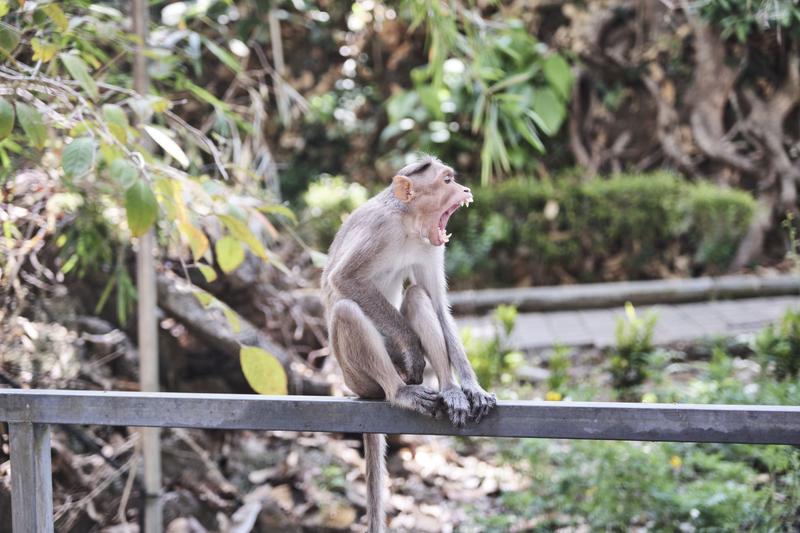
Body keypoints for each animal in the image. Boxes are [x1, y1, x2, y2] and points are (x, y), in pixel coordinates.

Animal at [318, 156, 494, 528]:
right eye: (446, 181)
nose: (466, 189)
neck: (408, 225)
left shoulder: (429, 247)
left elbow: (438, 306)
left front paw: (472, 386)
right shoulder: (378, 230)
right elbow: (344, 279)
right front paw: (412, 347)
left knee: (416, 297)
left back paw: (450, 390)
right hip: (356, 377)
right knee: (346, 310)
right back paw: (400, 392)